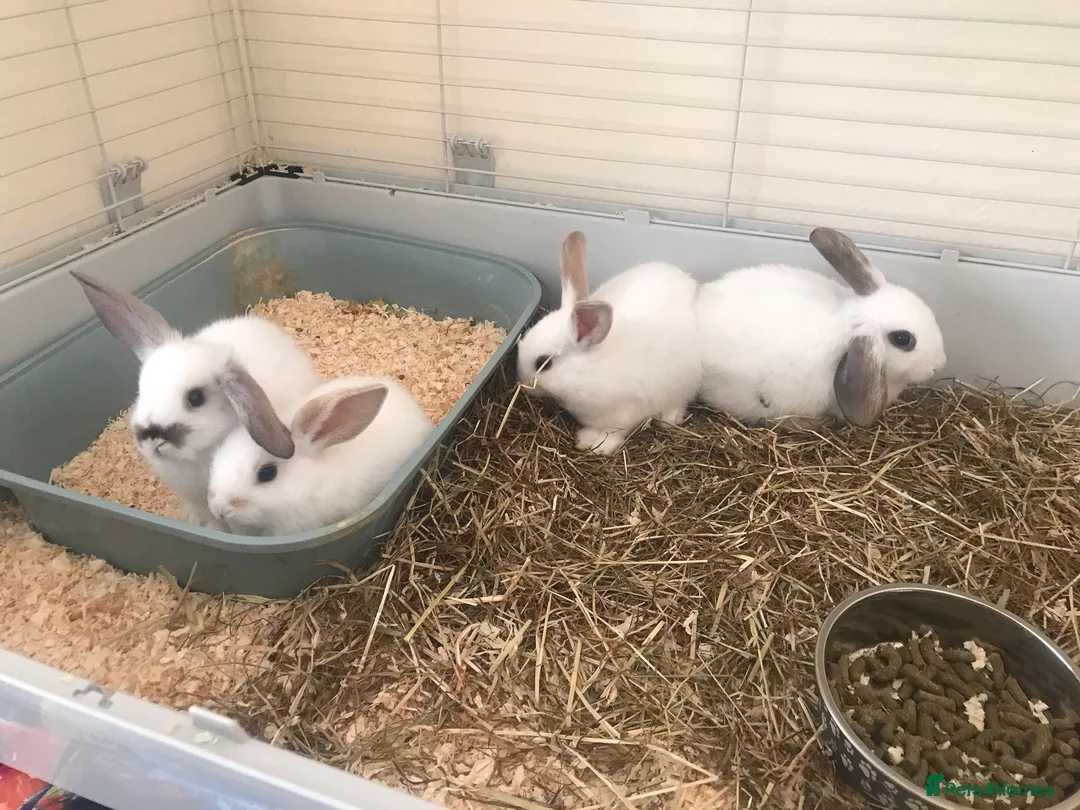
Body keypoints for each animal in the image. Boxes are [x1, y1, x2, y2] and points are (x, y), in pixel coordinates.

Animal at [515, 230, 702, 456]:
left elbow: (613, 434)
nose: (523, 384)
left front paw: (599, 446)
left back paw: (669, 418)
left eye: (543, 363)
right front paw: (586, 439)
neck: (587, 369)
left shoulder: (623, 414)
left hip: (686, 382)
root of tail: (687, 279)